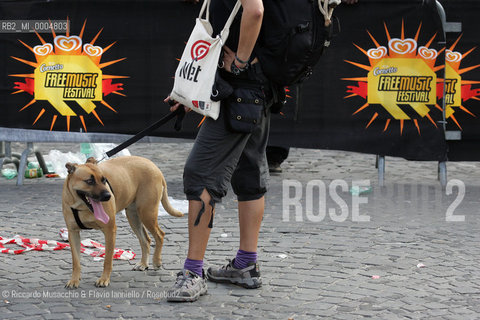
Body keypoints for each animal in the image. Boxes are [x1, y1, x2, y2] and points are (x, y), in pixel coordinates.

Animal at [62, 155, 183, 288]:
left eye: (104, 180)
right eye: (89, 181)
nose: (108, 196)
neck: (81, 206)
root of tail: (154, 166)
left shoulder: (110, 231)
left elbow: (107, 260)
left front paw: (104, 279)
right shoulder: (73, 233)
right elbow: (76, 261)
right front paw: (74, 280)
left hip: (147, 213)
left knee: (160, 235)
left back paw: (156, 261)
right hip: (133, 216)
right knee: (146, 240)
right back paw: (143, 264)